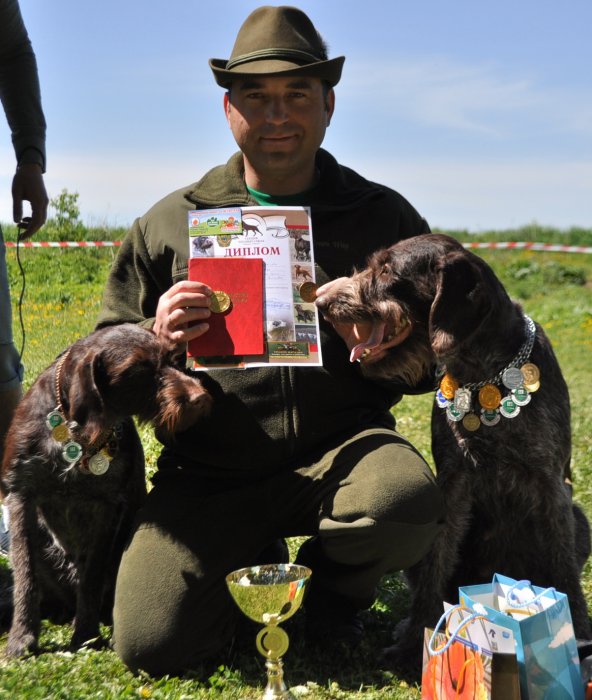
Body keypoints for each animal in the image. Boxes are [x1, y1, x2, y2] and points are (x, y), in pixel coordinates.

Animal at [0, 326, 213, 660]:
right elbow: (25, 574)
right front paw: (22, 637)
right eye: (137, 369)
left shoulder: (106, 506)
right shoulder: (20, 495)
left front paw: (86, 634)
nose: (200, 398)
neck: (76, 431)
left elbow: (91, 576)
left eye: (173, 358)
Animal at [316, 234, 588, 672]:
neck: (485, 375)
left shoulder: (550, 484)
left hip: (580, 520)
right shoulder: (453, 483)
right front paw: (414, 642)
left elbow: (563, 571)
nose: (321, 300)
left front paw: (578, 637)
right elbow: (434, 570)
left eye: (387, 270)